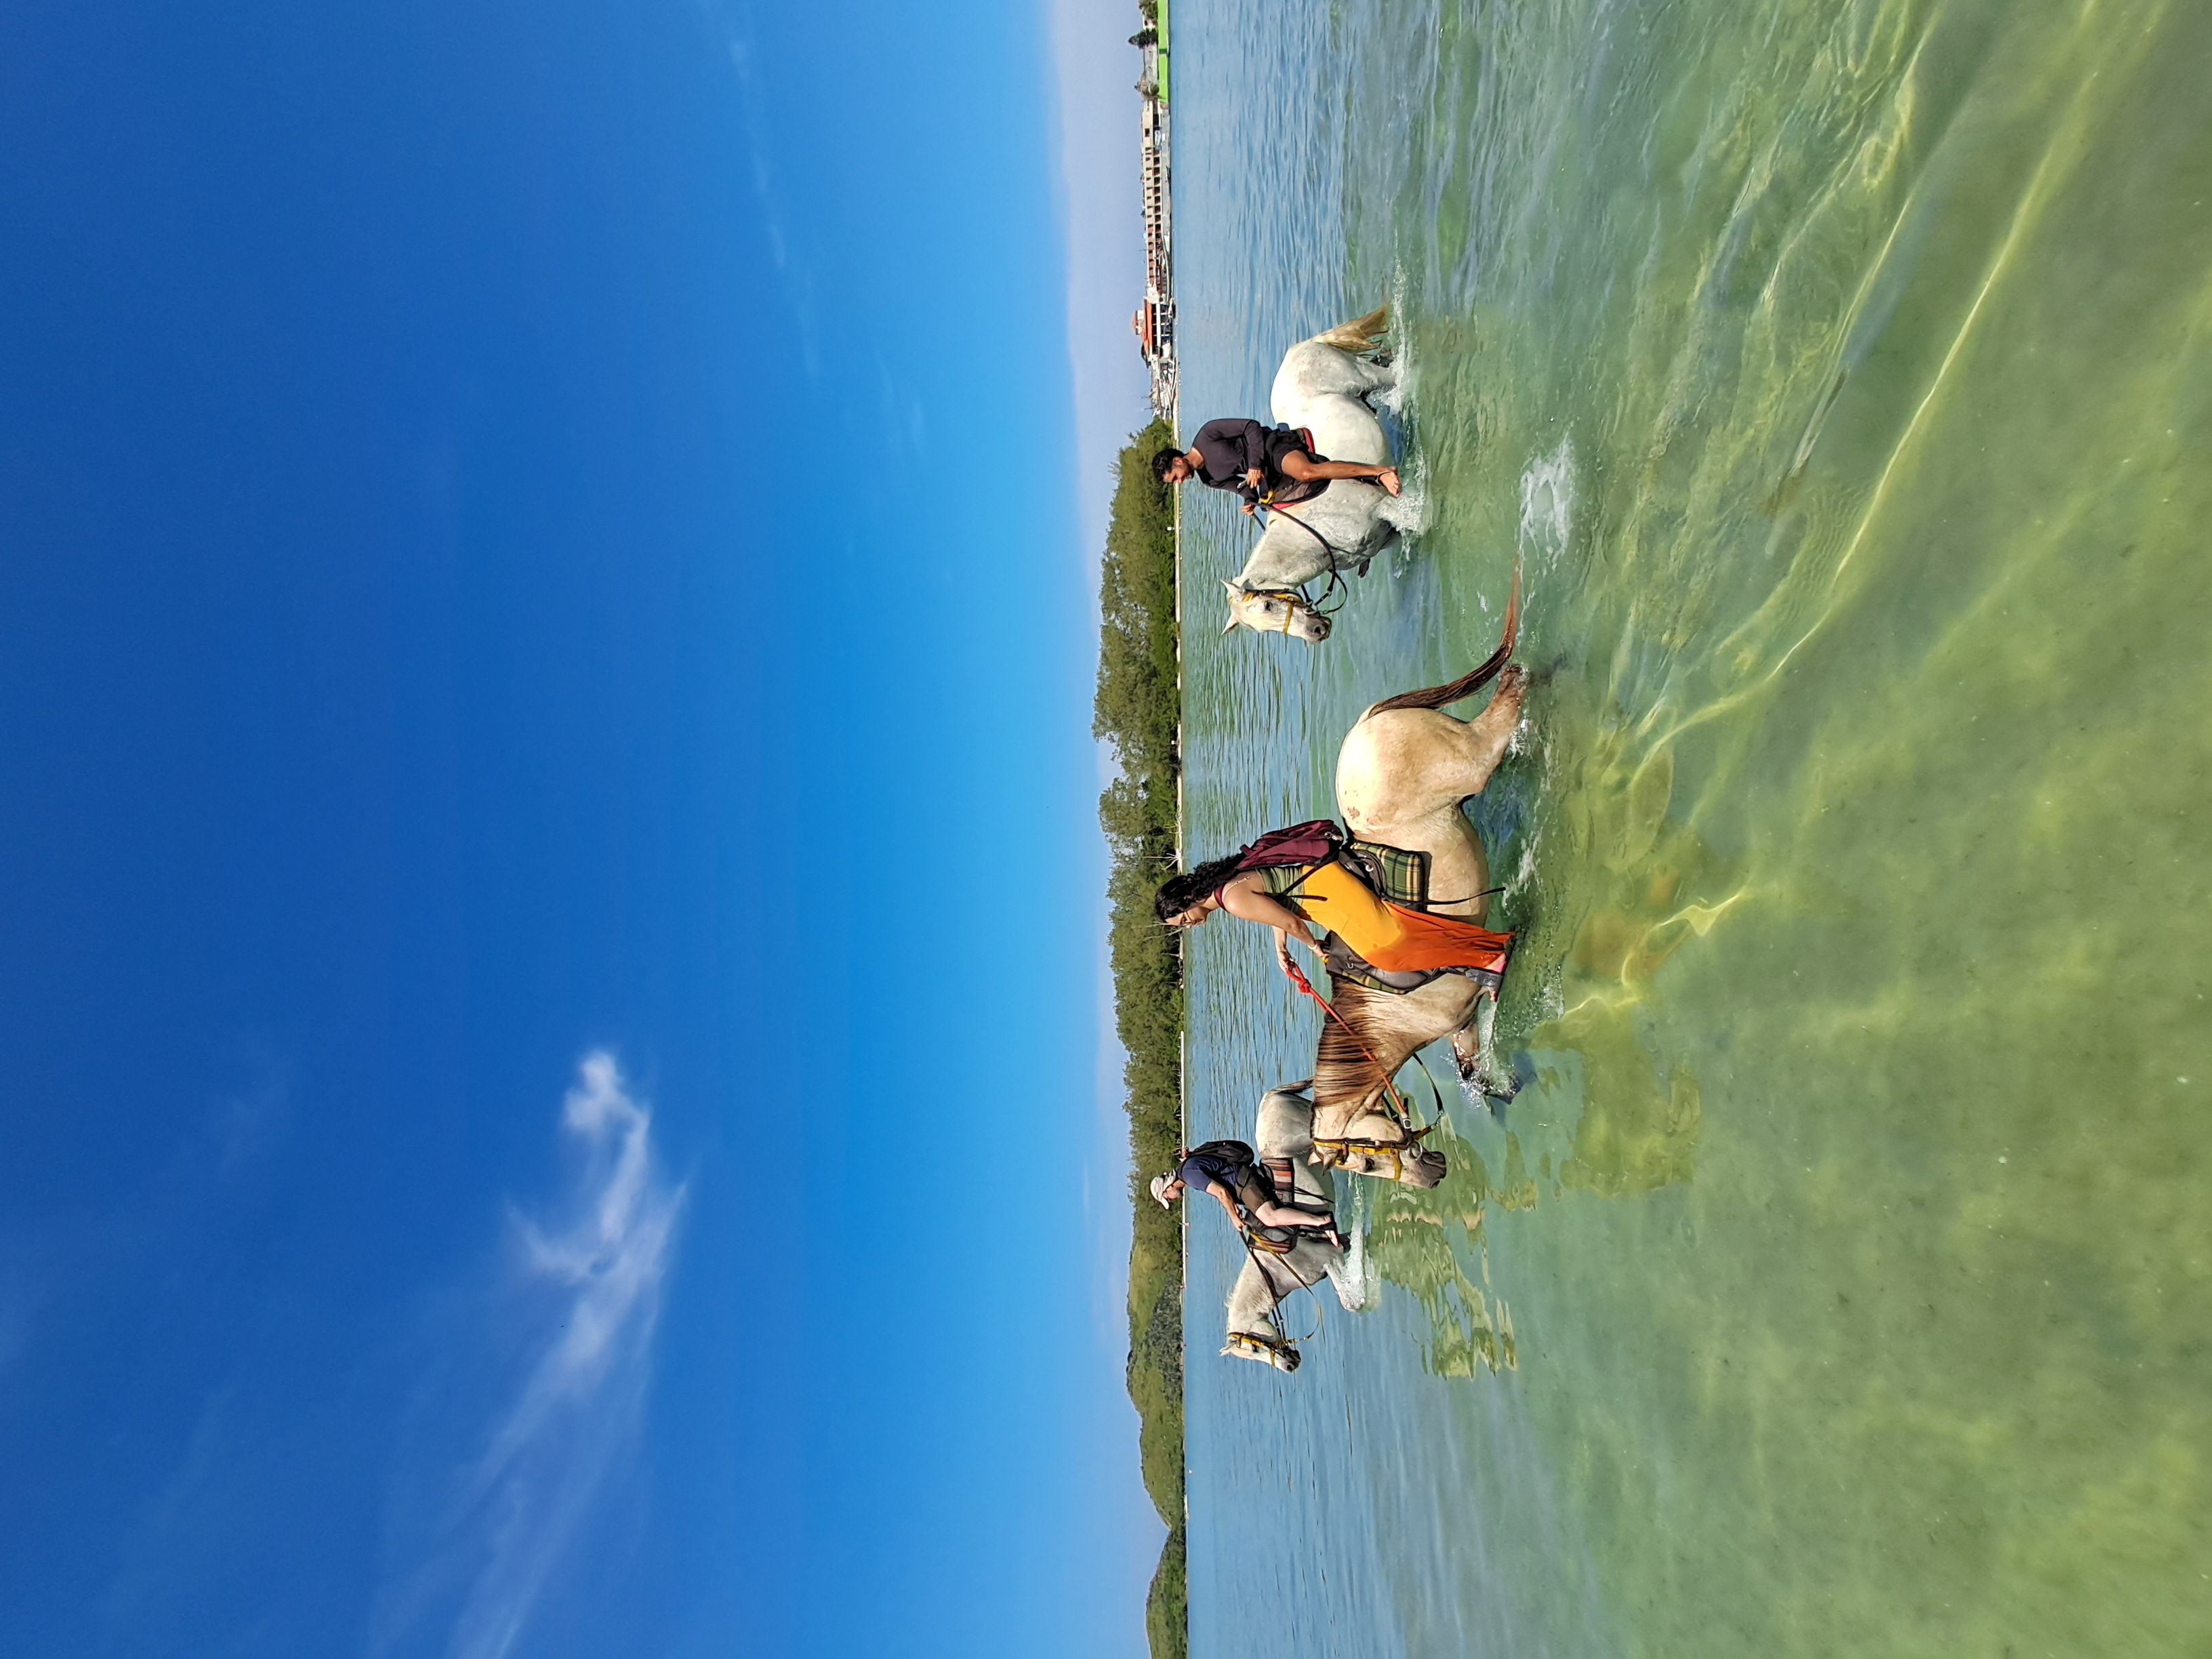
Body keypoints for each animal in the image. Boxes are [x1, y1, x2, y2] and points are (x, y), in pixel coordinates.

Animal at [1220, 1085, 1368, 1373]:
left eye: (1254, 1348)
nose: (1290, 1366)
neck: (1277, 1268)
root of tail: (1271, 1098)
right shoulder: (1336, 1249)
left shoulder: (1329, 1258)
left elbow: (1349, 1302)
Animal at [1221, 307, 1402, 644]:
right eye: (1260, 628)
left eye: (1267, 604)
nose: (1316, 632)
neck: (1313, 534)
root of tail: (1299, 348)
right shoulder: (1386, 538)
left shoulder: (1386, 507)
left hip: (1367, 376)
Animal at [1302, 601, 1529, 1189]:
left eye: (1363, 1159)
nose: (1432, 1178)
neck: (1389, 1014)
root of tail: (1368, 724)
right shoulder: (1465, 1017)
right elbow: (1471, 1061)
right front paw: (1499, 1089)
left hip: (1472, 758)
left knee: (1502, 710)